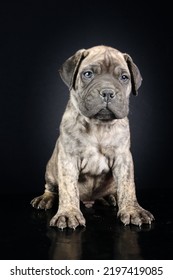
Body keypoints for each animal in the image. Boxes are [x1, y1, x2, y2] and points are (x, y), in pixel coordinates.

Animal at [31, 46, 154, 229]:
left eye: (124, 77)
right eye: (88, 74)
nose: (108, 92)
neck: (99, 126)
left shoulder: (123, 158)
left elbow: (128, 186)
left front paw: (133, 210)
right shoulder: (68, 158)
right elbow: (68, 188)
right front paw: (68, 213)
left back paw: (110, 197)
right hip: (51, 169)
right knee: (52, 188)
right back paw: (45, 199)